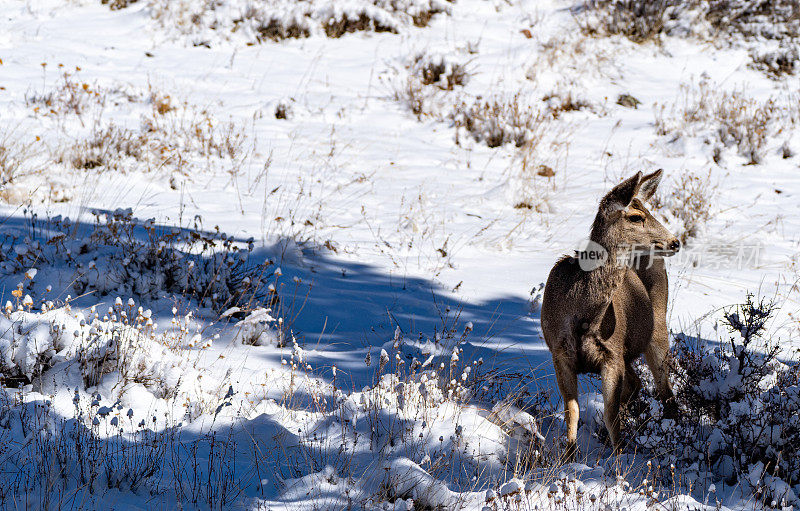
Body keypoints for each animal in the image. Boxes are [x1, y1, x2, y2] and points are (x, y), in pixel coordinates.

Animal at [540, 170, 680, 458]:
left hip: (658, 330)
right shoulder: (559, 353)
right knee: (637, 385)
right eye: (636, 216)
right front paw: (569, 457)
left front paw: (618, 461)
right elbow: (572, 411)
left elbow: (610, 415)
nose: (675, 241)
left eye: (648, 210)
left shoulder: (612, 355)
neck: (582, 317)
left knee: (665, 392)